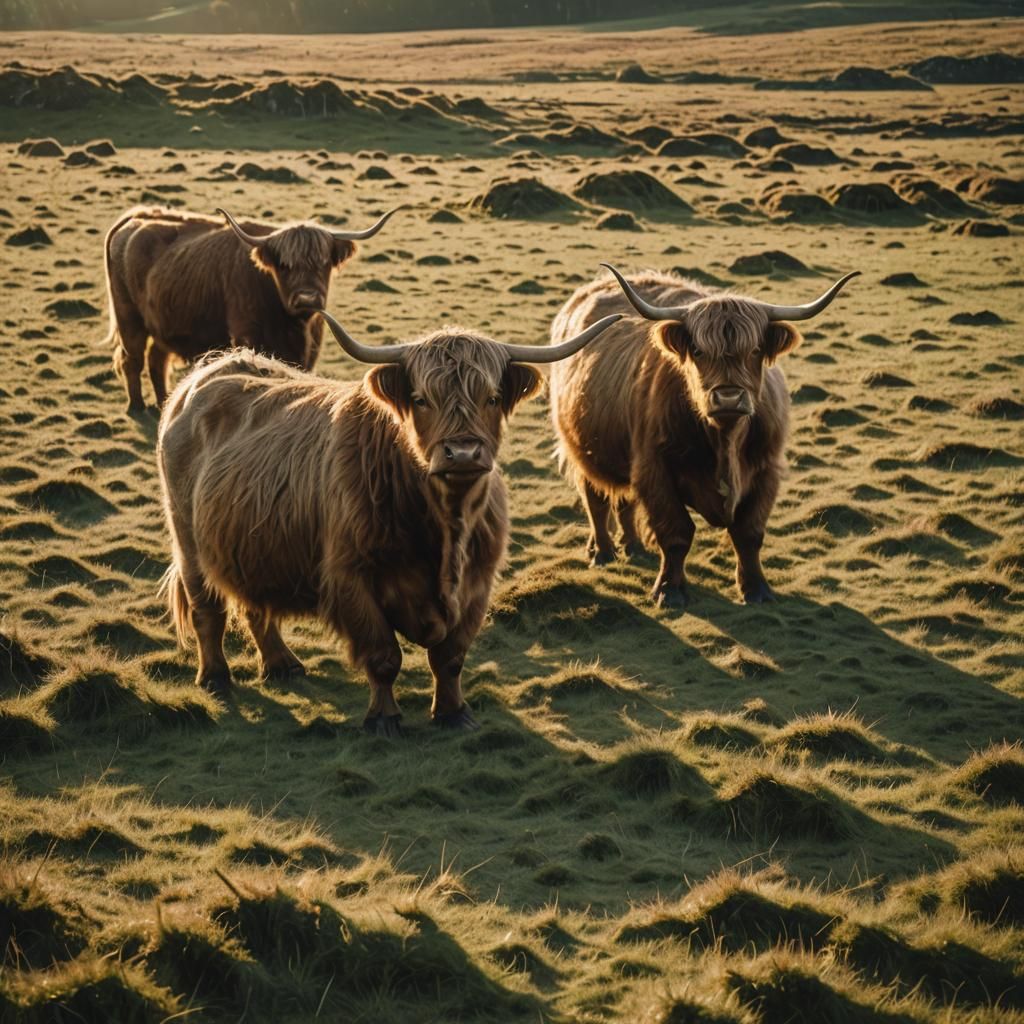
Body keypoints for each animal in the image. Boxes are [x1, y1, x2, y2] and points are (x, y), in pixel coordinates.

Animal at [102, 204, 398, 413]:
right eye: (284, 265)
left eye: (324, 262)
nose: (307, 299)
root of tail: (138, 217)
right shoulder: (247, 336)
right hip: (129, 318)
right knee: (132, 359)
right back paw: (137, 406)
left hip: (161, 323)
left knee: (156, 360)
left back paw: (163, 403)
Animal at [157, 307, 620, 735]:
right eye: (420, 398)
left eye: (491, 397)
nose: (463, 453)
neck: (446, 527)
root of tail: (216, 369)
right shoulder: (353, 580)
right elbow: (383, 656)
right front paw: (384, 718)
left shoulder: (477, 584)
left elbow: (450, 658)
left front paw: (454, 713)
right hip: (188, 541)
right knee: (207, 610)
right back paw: (216, 678)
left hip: (251, 543)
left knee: (256, 606)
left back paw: (282, 665)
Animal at [548, 265, 858, 609]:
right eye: (697, 350)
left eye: (755, 350)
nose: (728, 398)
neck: (725, 441)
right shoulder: (655, 471)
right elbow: (676, 533)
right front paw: (670, 590)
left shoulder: (767, 470)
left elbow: (749, 533)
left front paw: (757, 589)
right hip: (582, 448)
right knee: (596, 500)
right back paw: (602, 552)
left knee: (625, 502)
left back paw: (634, 547)